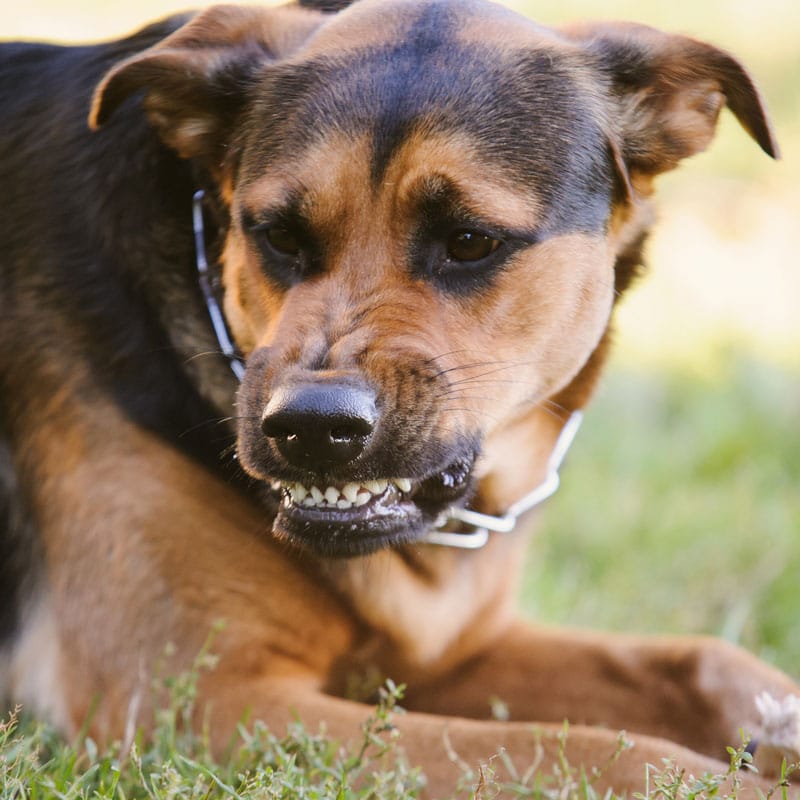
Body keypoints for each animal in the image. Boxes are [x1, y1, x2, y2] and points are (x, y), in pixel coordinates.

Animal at [1, 0, 800, 796]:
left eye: (470, 240)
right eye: (278, 235)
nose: (310, 428)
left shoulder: (458, 650)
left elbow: (699, 662)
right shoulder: (202, 702)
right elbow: (587, 751)